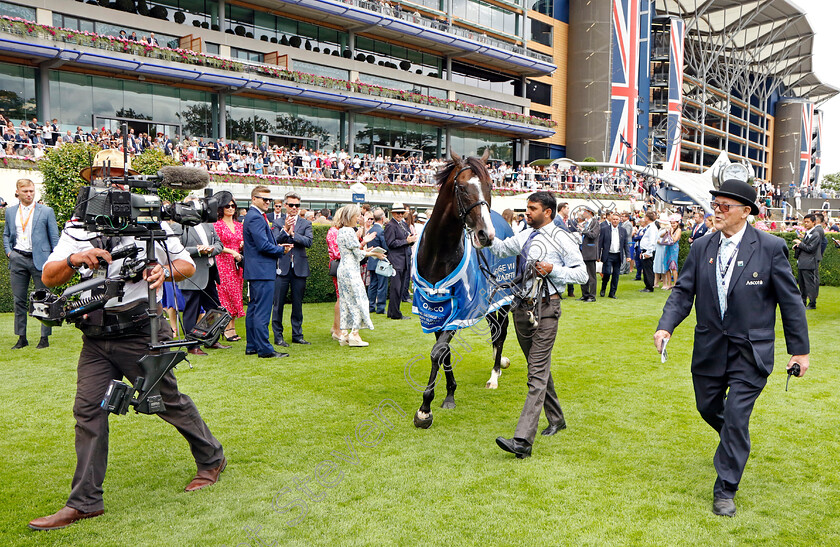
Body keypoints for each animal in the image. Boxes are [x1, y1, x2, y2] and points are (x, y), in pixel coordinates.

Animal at [412, 151, 516, 432]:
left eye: (490, 185)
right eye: (461, 187)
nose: (486, 234)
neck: (438, 255)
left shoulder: (462, 309)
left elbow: (438, 352)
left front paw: (424, 409)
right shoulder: (433, 310)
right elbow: (443, 351)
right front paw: (449, 394)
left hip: (503, 298)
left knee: (501, 334)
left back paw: (495, 374)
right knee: (495, 332)